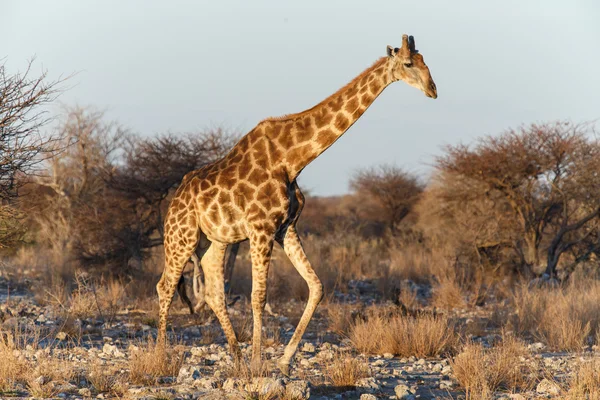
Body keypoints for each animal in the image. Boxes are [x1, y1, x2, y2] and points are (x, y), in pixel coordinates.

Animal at [155, 34, 436, 376]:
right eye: (408, 63)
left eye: (425, 61)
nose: (433, 89)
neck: (292, 159)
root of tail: (175, 198)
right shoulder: (261, 229)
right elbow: (258, 296)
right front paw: (258, 362)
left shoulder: (285, 228)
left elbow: (316, 286)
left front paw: (284, 360)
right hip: (181, 236)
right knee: (165, 285)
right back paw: (161, 357)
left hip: (217, 239)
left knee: (212, 289)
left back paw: (236, 358)